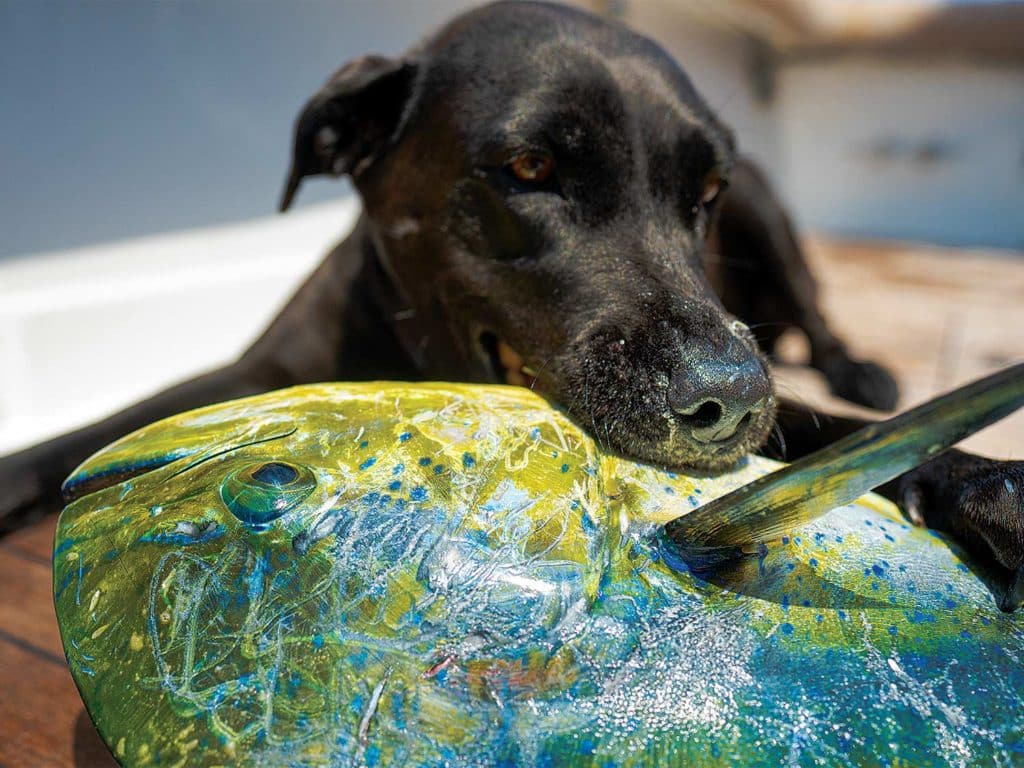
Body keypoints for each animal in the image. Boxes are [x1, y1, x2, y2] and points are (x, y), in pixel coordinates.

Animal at [0, 3, 1019, 610]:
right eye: (530, 169)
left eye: (703, 192)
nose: (729, 398)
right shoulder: (256, 371)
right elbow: (101, 425)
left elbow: (830, 428)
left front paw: (978, 480)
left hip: (772, 220)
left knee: (822, 321)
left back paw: (865, 368)